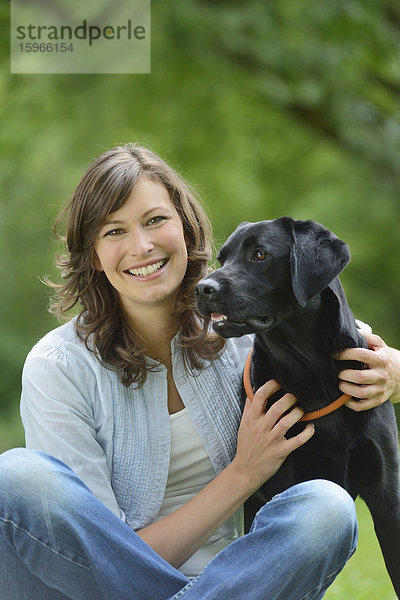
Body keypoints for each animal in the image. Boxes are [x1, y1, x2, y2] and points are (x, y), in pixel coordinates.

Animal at [195, 218, 400, 596]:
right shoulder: (282, 484)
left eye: (260, 255)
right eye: (223, 257)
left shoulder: (388, 498)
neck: (312, 372)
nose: (202, 289)